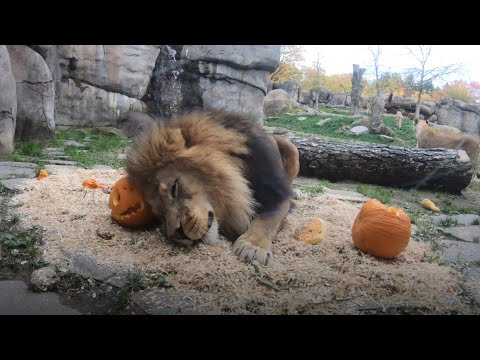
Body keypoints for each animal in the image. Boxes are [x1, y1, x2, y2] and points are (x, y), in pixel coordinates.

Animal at [124, 111, 300, 266]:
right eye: (159, 214)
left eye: (174, 189)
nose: (177, 234)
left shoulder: (278, 195)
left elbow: (268, 218)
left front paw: (253, 247)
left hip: (290, 147)